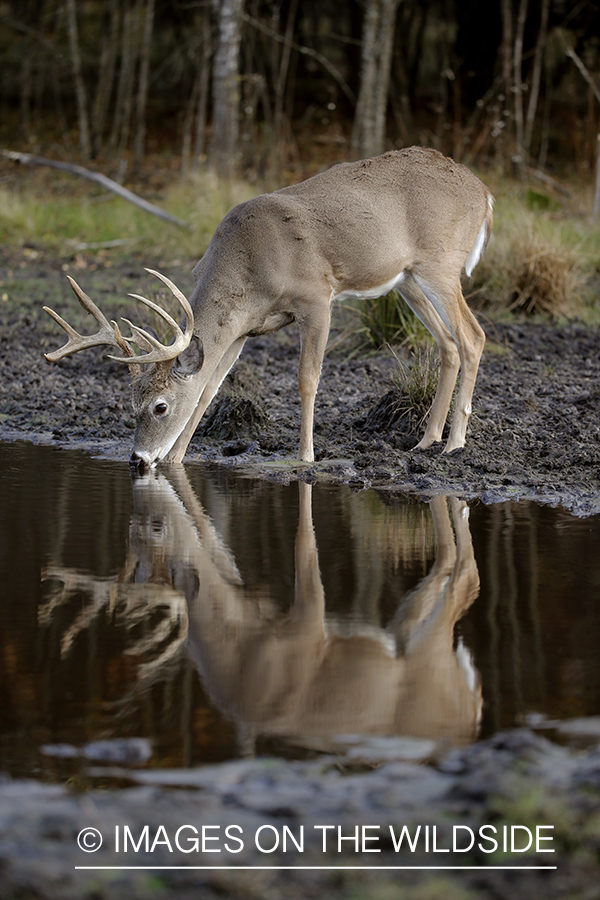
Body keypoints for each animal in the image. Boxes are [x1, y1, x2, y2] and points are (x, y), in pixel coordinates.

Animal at [43, 146, 492, 464]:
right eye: (130, 403)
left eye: (160, 406)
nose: (138, 459)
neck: (249, 262)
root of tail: (484, 193)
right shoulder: (243, 328)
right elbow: (209, 390)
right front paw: (175, 460)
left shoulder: (316, 297)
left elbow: (307, 378)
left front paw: (305, 456)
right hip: (408, 279)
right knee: (449, 344)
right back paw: (426, 441)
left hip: (440, 264)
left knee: (473, 336)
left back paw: (454, 444)